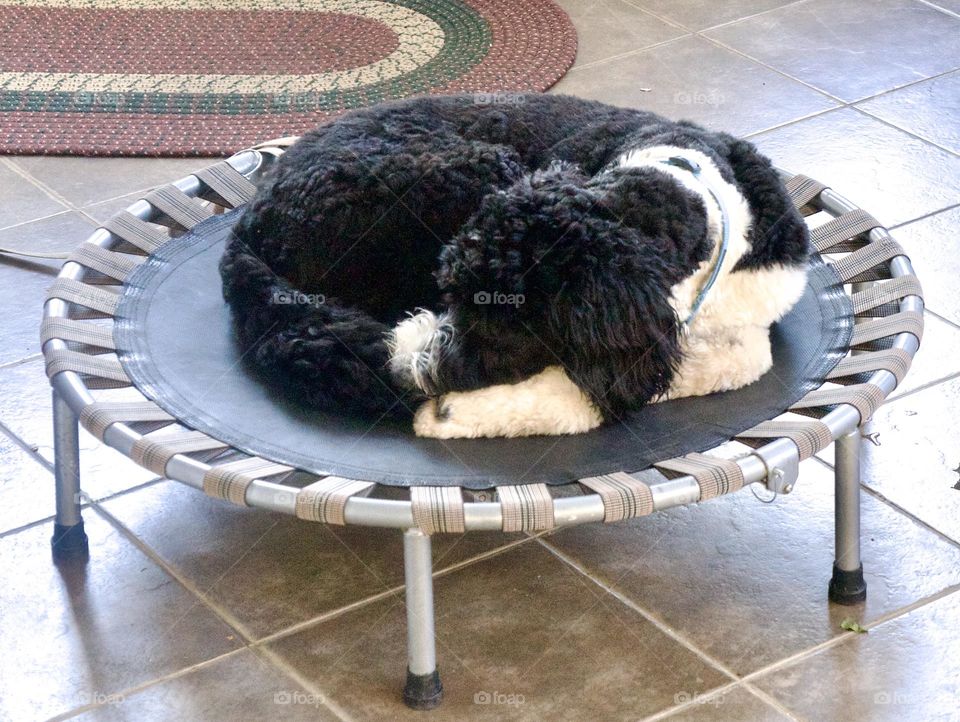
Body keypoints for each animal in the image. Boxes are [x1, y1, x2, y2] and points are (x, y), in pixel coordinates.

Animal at [219, 93, 808, 436]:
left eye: (500, 328)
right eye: (446, 292)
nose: (409, 365)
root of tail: (250, 219)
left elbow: (739, 360)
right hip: (472, 169)